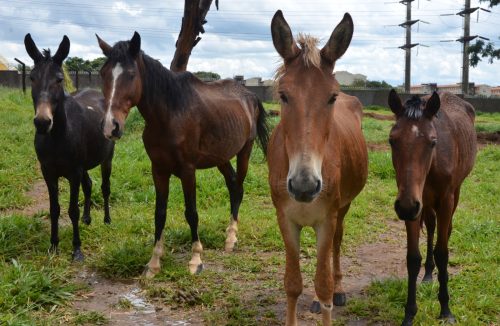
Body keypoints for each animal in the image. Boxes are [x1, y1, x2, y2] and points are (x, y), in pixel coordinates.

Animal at [24, 34, 115, 262]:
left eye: (59, 79)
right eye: (32, 78)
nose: (42, 122)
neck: (57, 137)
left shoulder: (73, 172)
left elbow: (72, 209)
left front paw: (77, 250)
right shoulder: (48, 172)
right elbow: (54, 209)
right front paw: (53, 246)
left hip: (106, 159)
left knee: (105, 188)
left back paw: (107, 220)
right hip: (83, 166)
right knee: (89, 185)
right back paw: (87, 219)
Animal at [95, 31, 268, 276]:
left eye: (131, 74)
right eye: (103, 74)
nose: (111, 126)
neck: (170, 114)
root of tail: (249, 96)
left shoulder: (188, 171)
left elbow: (191, 212)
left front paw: (196, 259)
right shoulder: (158, 170)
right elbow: (159, 214)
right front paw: (154, 262)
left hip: (245, 151)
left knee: (240, 187)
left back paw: (231, 238)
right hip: (221, 157)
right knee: (233, 185)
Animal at [270, 10, 368, 326]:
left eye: (332, 97)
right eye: (283, 95)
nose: (304, 186)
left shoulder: (328, 217)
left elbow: (323, 284)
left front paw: (330, 293)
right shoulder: (286, 219)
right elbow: (292, 283)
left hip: (342, 209)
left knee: (335, 247)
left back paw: (339, 290)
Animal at [386, 90, 476, 326]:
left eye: (433, 142)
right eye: (392, 140)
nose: (407, 207)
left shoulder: (444, 200)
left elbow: (442, 253)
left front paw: (445, 309)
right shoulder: (411, 203)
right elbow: (412, 258)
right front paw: (409, 313)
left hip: (454, 193)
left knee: (446, 229)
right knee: (432, 226)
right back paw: (428, 274)